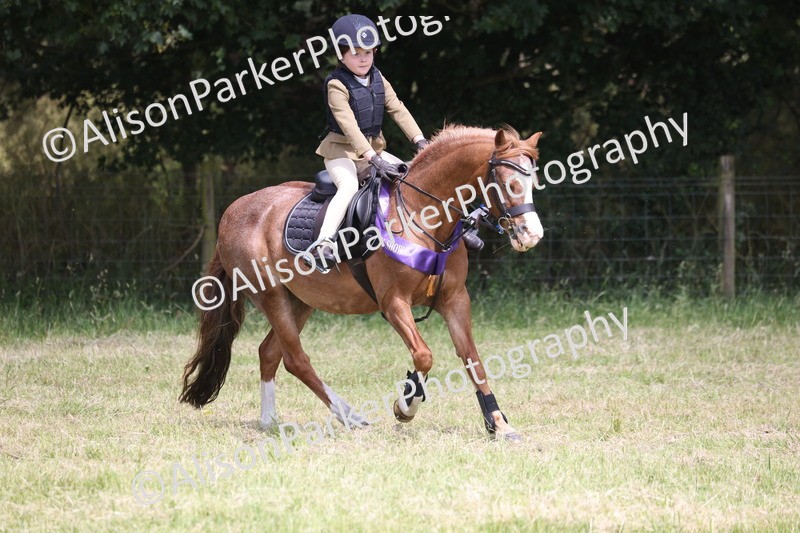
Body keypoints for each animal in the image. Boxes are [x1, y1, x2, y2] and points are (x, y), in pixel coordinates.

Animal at [179, 124, 543, 441]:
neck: (422, 214)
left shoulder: (454, 300)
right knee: (297, 359)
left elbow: (473, 360)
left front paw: (499, 424)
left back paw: (270, 420)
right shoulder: (393, 303)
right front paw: (405, 406)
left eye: (533, 182)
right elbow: (424, 356)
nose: (532, 235)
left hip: (300, 300)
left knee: (270, 353)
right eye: (507, 184)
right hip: (269, 295)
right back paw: (350, 416)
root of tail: (232, 212)